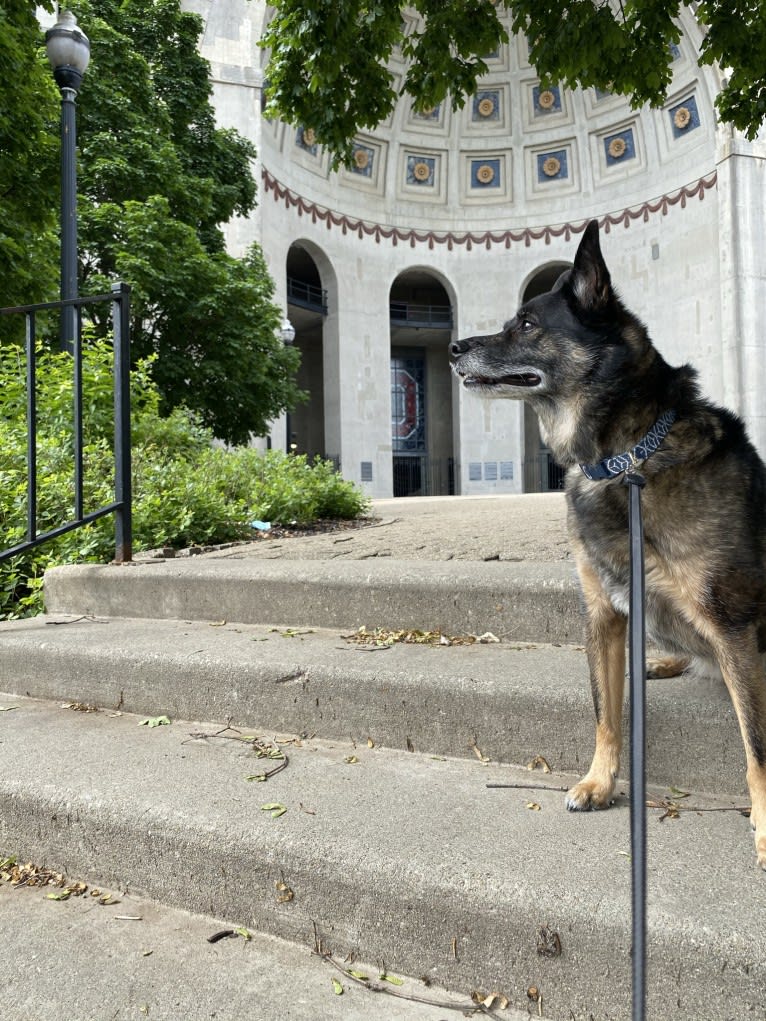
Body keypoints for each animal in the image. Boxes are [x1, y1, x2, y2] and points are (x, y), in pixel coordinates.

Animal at [449, 221, 766, 869]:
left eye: (526, 323)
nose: (453, 347)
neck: (626, 460)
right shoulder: (603, 614)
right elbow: (605, 713)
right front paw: (601, 781)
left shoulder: (733, 622)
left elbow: (757, 747)